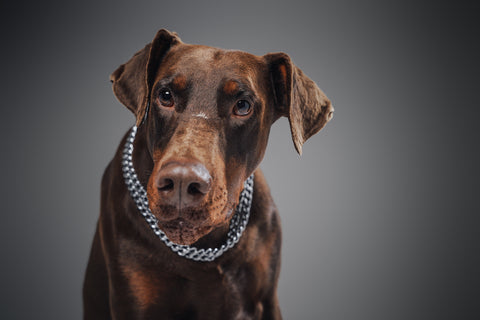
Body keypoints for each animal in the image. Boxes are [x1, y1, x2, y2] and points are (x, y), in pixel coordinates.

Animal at [84, 28, 332, 318]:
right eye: (165, 95)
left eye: (243, 105)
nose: (181, 182)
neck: (203, 250)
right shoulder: (133, 300)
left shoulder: (266, 300)